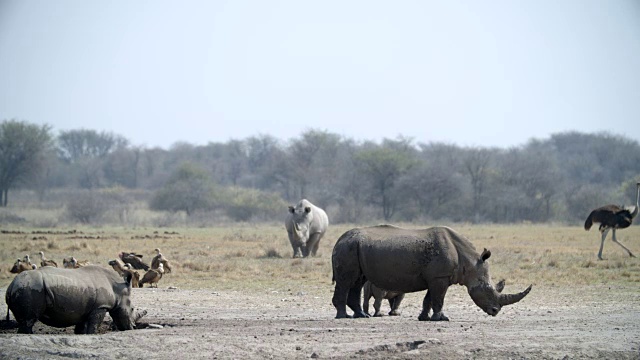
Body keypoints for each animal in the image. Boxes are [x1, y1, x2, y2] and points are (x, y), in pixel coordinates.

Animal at [5, 264, 138, 334]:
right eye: (132, 309)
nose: (133, 327)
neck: (118, 289)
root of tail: (11, 286)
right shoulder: (100, 306)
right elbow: (93, 326)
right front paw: (93, 334)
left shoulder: (84, 309)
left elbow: (81, 327)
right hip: (30, 289)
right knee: (28, 320)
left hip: (24, 287)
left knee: (24, 321)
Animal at [332, 226, 532, 322]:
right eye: (487, 289)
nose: (495, 311)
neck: (469, 261)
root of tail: (339, 239)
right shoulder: (439, 278)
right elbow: (438, 299)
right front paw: (441, 319)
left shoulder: (436, 277)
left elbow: (429, 299)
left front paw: (424, 318)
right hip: (348, 247)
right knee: (347, 281)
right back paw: (343, 316)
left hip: (354, 247)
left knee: (357, 281)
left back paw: (360, 316)